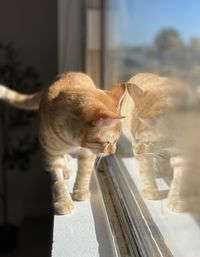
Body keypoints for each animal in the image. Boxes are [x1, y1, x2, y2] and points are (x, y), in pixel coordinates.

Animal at [0, 71, 125, 213]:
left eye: (116, 141)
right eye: (110, 142)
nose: (113, 152)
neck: (72, 140)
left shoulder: (88, 152)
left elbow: (84, 172)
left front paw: (80, 190)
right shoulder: (51, 155)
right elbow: (58, 182)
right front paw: (63, 201)